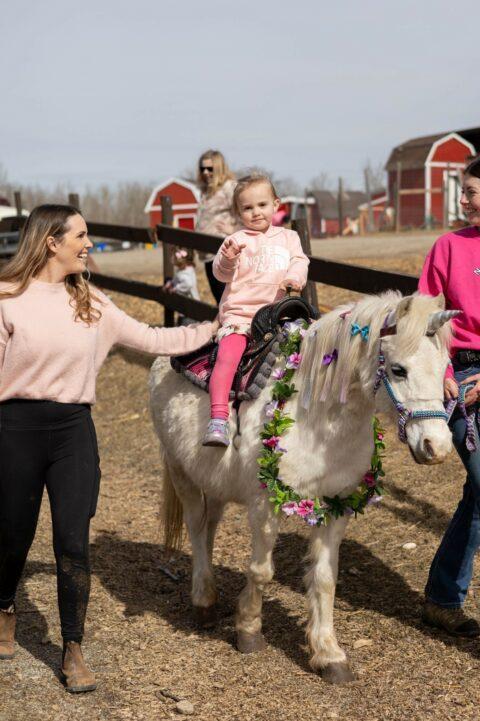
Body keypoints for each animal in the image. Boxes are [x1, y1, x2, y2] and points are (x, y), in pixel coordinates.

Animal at [149, 292, 454, 680]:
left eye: (444, 366)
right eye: (399, 369)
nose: (436, 447)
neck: (318, 418)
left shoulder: (338, 505)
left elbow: (324, 578)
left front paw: (329, 654)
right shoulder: (265, 504)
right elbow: (261, 570)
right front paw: (249, 631)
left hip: (214, 481)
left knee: (210, 528)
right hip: (181, 472)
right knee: (196, 526)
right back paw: (203, 602)